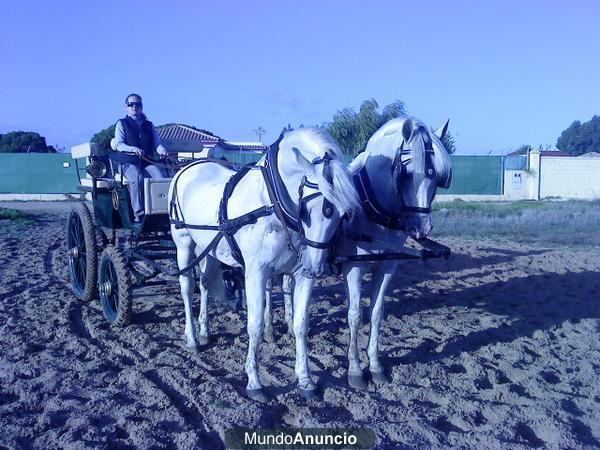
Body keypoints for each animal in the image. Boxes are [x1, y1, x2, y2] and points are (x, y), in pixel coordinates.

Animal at [168, 127, 360, 400]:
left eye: (342, 214)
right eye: (306, 211)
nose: (316, 267)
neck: (272, 204)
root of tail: (188, 166)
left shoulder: (301, 275)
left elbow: (301, 324)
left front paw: (306, 381)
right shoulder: (255, 274)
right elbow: (255, 325)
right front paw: (254, 381)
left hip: (210, 249)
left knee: (204, 284)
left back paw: (204, 331)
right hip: (184, 244)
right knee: (187, 287)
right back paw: (192, 339)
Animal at [262, 115, 450, 390]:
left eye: (436, 176)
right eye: (406, 173)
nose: (421, 228)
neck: (374, 211)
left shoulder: (387, 266)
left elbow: (376, 313)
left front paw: (376, 367)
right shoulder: (354, 268)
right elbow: (354, 315)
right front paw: (355, 371)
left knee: (287, 283)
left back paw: (288, 320)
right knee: (268, 288)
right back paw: (269, 329)